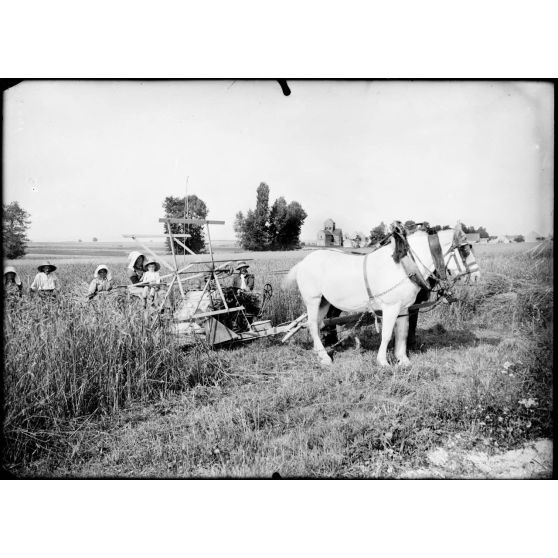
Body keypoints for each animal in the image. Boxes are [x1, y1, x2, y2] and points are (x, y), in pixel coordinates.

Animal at [286, 223, 484, 368]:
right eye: (465, 249)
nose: (477, 275)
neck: (404, 265)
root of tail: (303, 262)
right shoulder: (391, 307)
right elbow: (387, 334)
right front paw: (383, 361)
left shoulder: (404, 308)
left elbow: (402, 333)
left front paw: (403, 359)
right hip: (313, 300)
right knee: (312, 325)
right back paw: (326, 358)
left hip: (324, 302)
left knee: (317, 325)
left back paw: (319, 353)